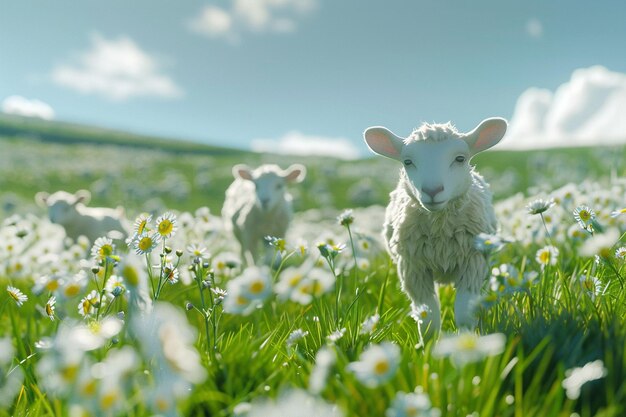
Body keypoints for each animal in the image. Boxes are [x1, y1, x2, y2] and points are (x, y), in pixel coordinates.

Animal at [364, 117, 504, 338]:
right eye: (408, 162)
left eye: (460, 159)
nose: (432, 191)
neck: (440, 230)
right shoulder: (413, 268)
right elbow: (428, 320)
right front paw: (429, 346)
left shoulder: (474, 262)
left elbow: (465, 313)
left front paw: (469, 340)